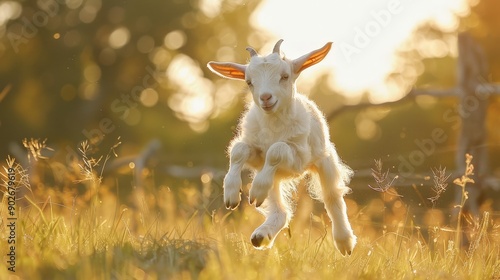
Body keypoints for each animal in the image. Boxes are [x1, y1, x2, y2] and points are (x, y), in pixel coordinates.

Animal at [206, 39, 356, 256]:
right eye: (249, 82)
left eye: (284, 76)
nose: (266, 98)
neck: (274, 126)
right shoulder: (257, 155)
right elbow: (239, 151)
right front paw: (232, 194)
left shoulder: (298, 158)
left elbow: (277, 150)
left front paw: (249, 189)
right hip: (274, 178)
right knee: (280, 210)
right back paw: (261, 234)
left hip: (323, 160)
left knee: (332, 198)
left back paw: (345, 242)